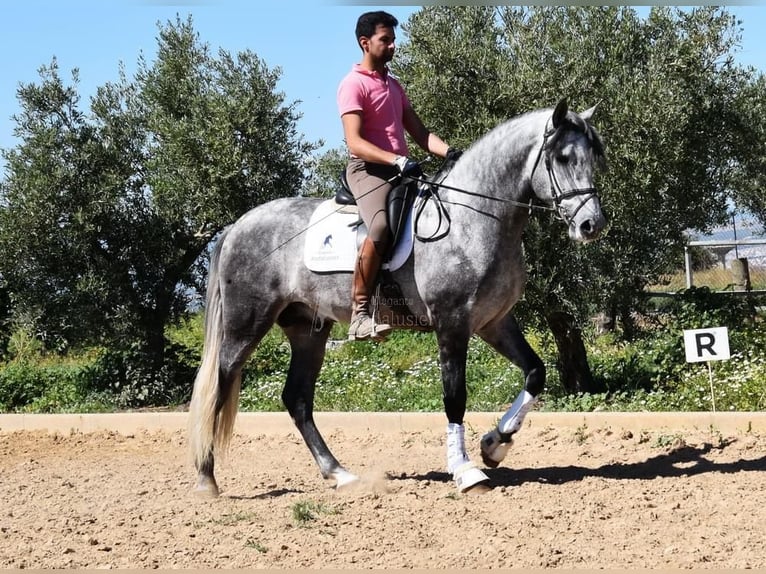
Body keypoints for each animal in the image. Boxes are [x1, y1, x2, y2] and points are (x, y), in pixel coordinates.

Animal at [190, 98, 608, 496]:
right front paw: (466, 470)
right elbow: (455, 397)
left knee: (297, 398)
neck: (473, 219)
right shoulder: (452, 323)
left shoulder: (493, 321)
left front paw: (496, 443)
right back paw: (206, 479)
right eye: (563, 158)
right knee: (220, 384)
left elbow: (535, 372)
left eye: (594, 158)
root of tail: (237, 226)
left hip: (307, 329)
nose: (592, 225)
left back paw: (340, 474)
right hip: (246, 324)